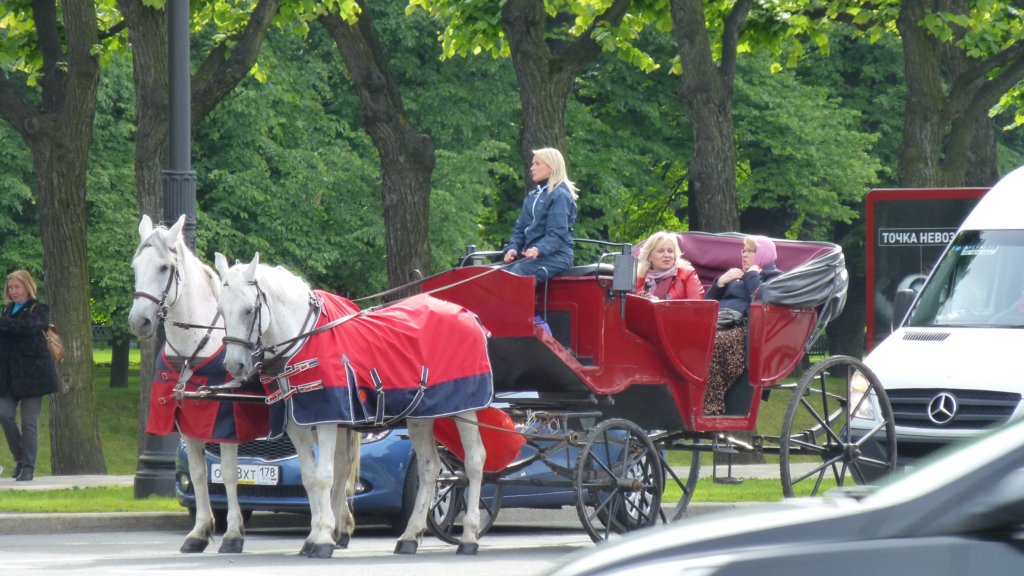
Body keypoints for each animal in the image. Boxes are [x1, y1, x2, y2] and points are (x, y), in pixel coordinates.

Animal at [127, 215, 268, 553]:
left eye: (164, 267)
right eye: (136, 266)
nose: (139, 321)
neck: (196, 345)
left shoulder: (226, 423)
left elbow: (229, 475)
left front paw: (233, 533)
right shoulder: (188, 424)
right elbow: (199, 473)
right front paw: (200, 531)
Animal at [212, 252, 491, 557]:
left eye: (249, 310)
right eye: (222, 310)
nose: (234, 365)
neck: (304, 342)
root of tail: (468, 314)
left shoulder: (326, 420)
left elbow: (325, 476)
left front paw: (323, 539)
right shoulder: (298, 425)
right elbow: (309, 478)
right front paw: (313, 537)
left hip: (466, 409)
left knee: (474, 461)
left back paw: (469, 537)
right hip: (421, 416)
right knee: (430, 467)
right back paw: (410, 536)